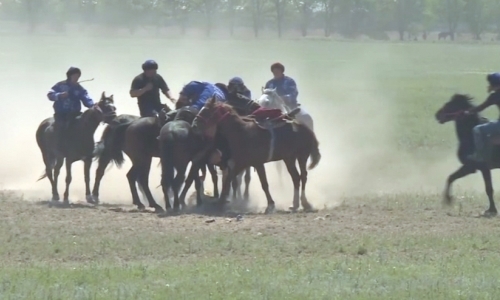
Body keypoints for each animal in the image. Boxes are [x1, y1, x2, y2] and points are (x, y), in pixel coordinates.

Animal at [191, 97, 320, 212]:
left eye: (207, 110)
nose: (194, 125)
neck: (241, 132)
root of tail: (305, 128)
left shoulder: (256, 164)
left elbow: (263, 184)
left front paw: (270, 205)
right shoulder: (241, 164)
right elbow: (229, 181)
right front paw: (220, 203)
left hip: (302, 156)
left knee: (303, 176)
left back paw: (305, 203)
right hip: (289, 158)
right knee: (296, 177)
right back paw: (295, 204)